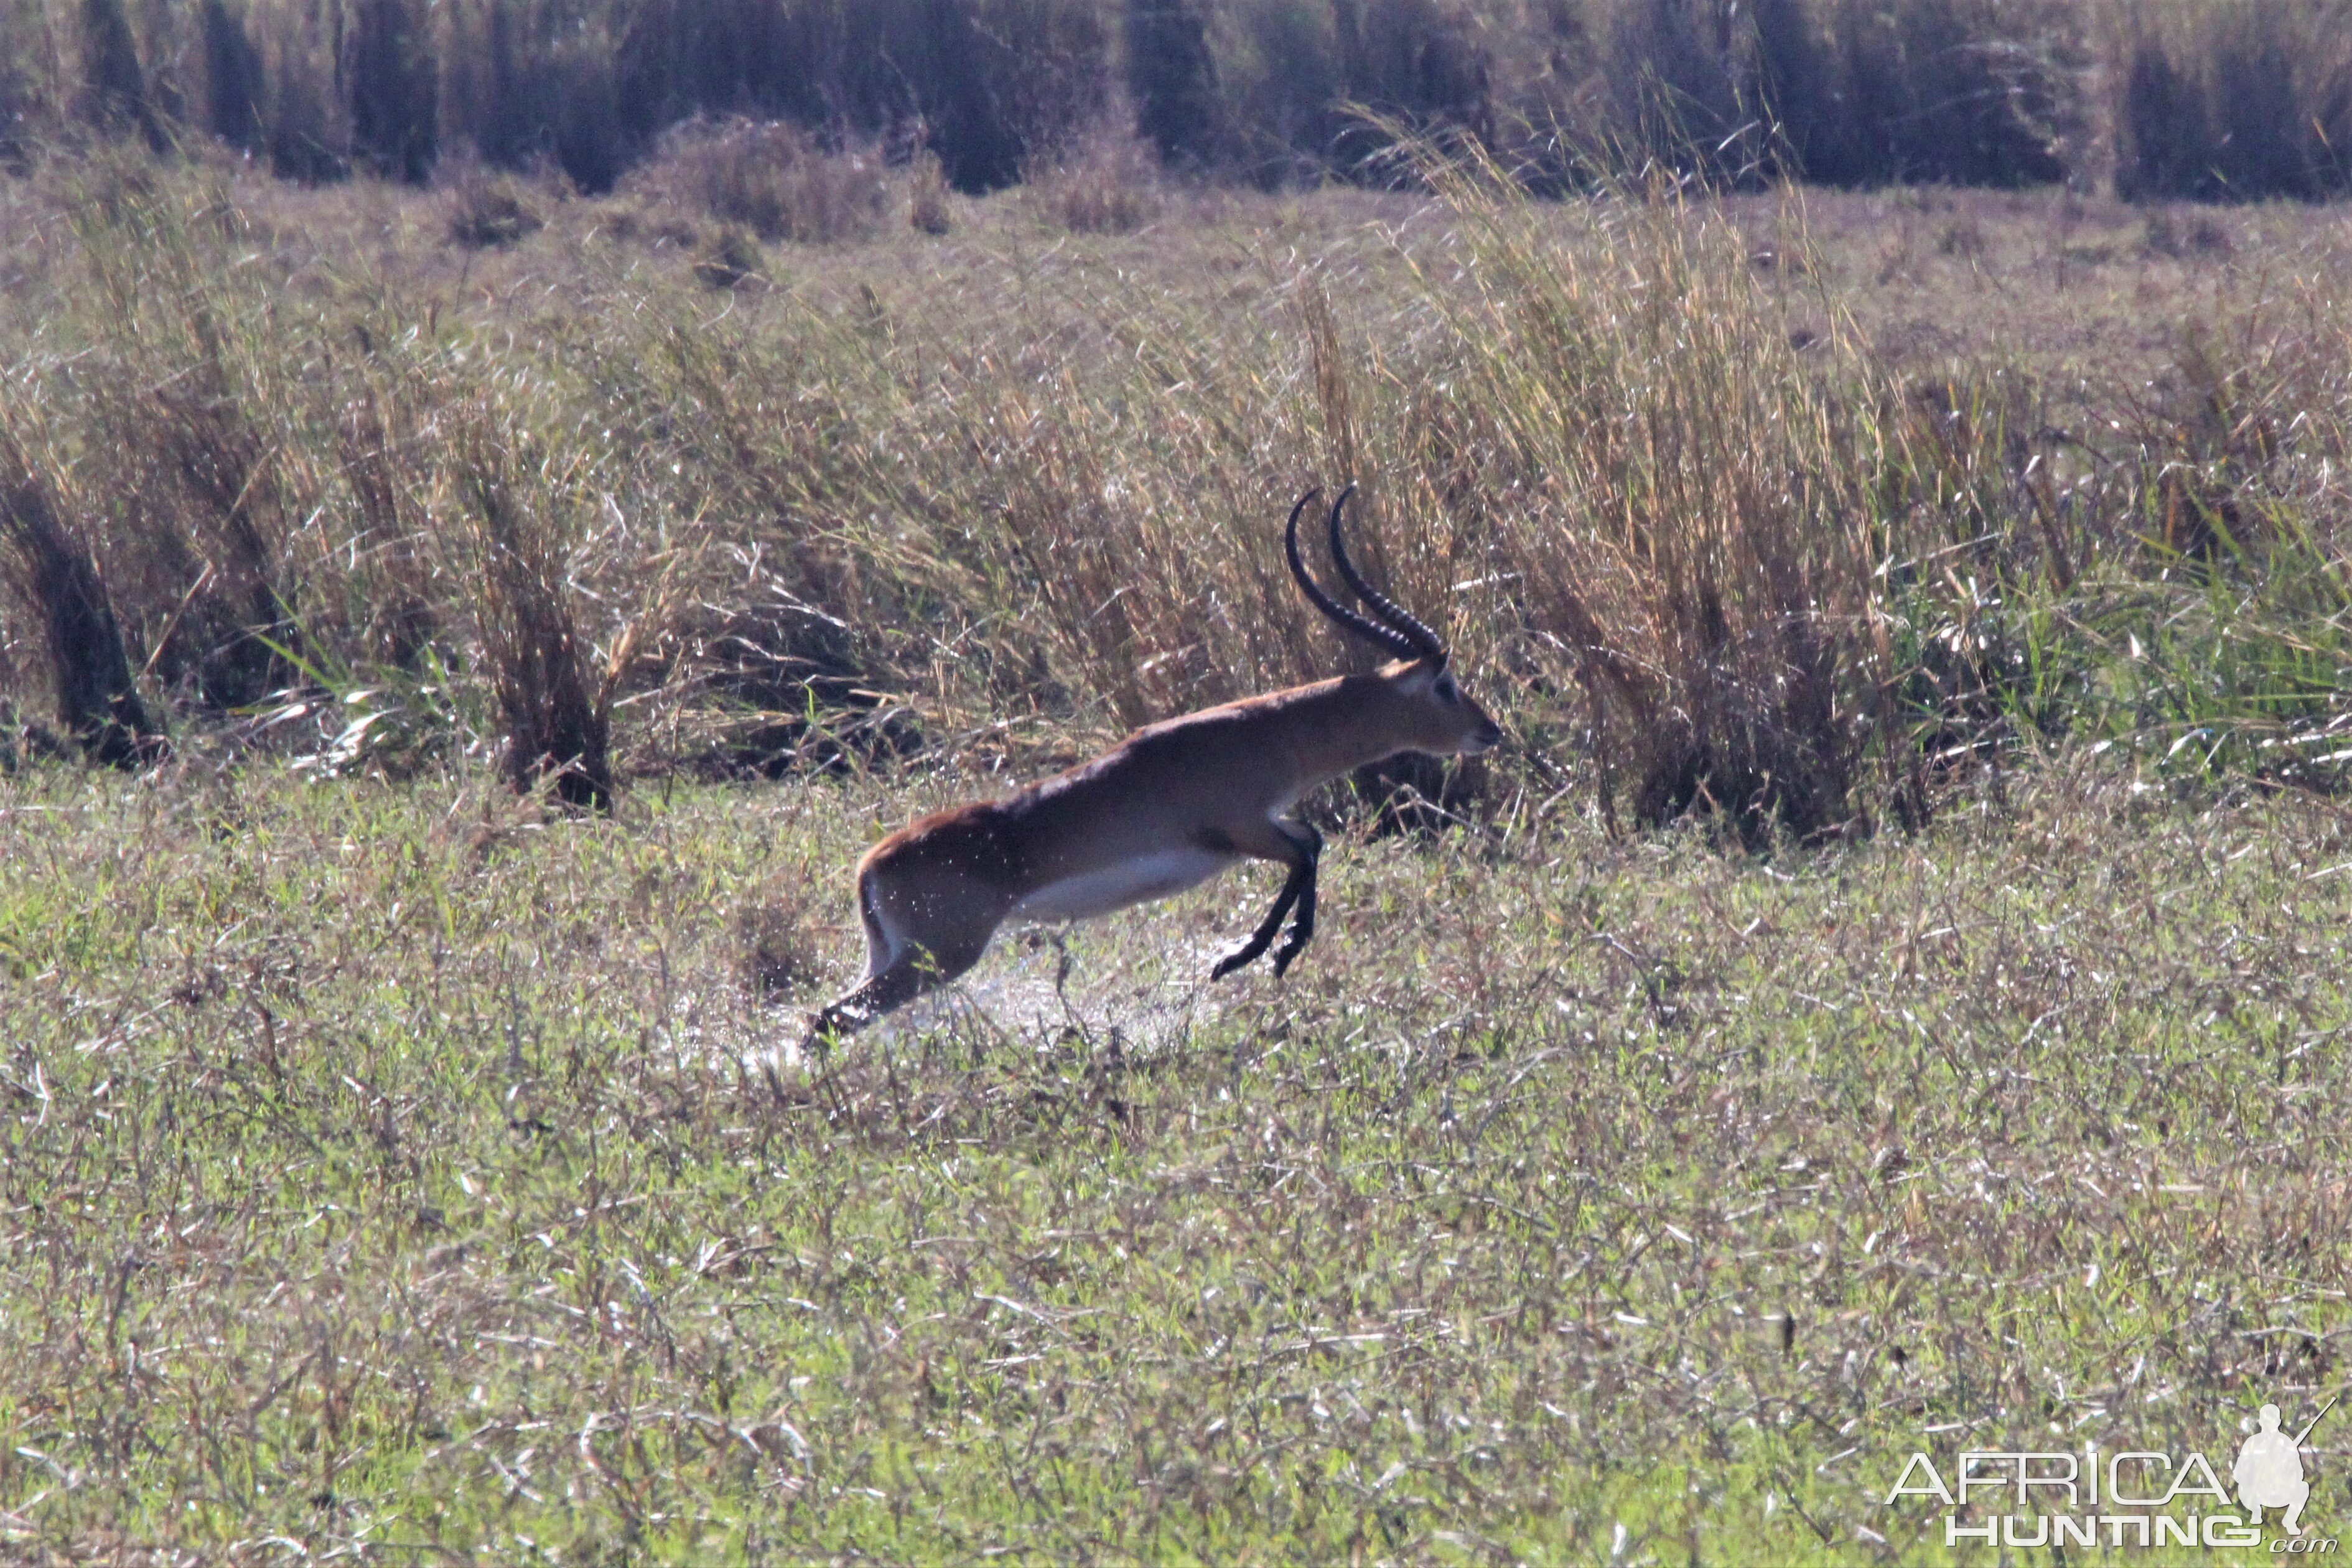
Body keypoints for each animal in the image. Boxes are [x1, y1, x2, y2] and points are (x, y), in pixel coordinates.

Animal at [809, 487, 1505, 1053]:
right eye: (1444, 683)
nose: (1490, 729)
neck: (1269, 731)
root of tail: (871, 864)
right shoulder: (1242, 829)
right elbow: (1306, 852)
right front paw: (1251, 956)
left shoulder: (1262, 825)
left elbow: (1311, 845)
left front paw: (1267, 954)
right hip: (939, 959)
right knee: (829, 1020)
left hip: (890, 958)